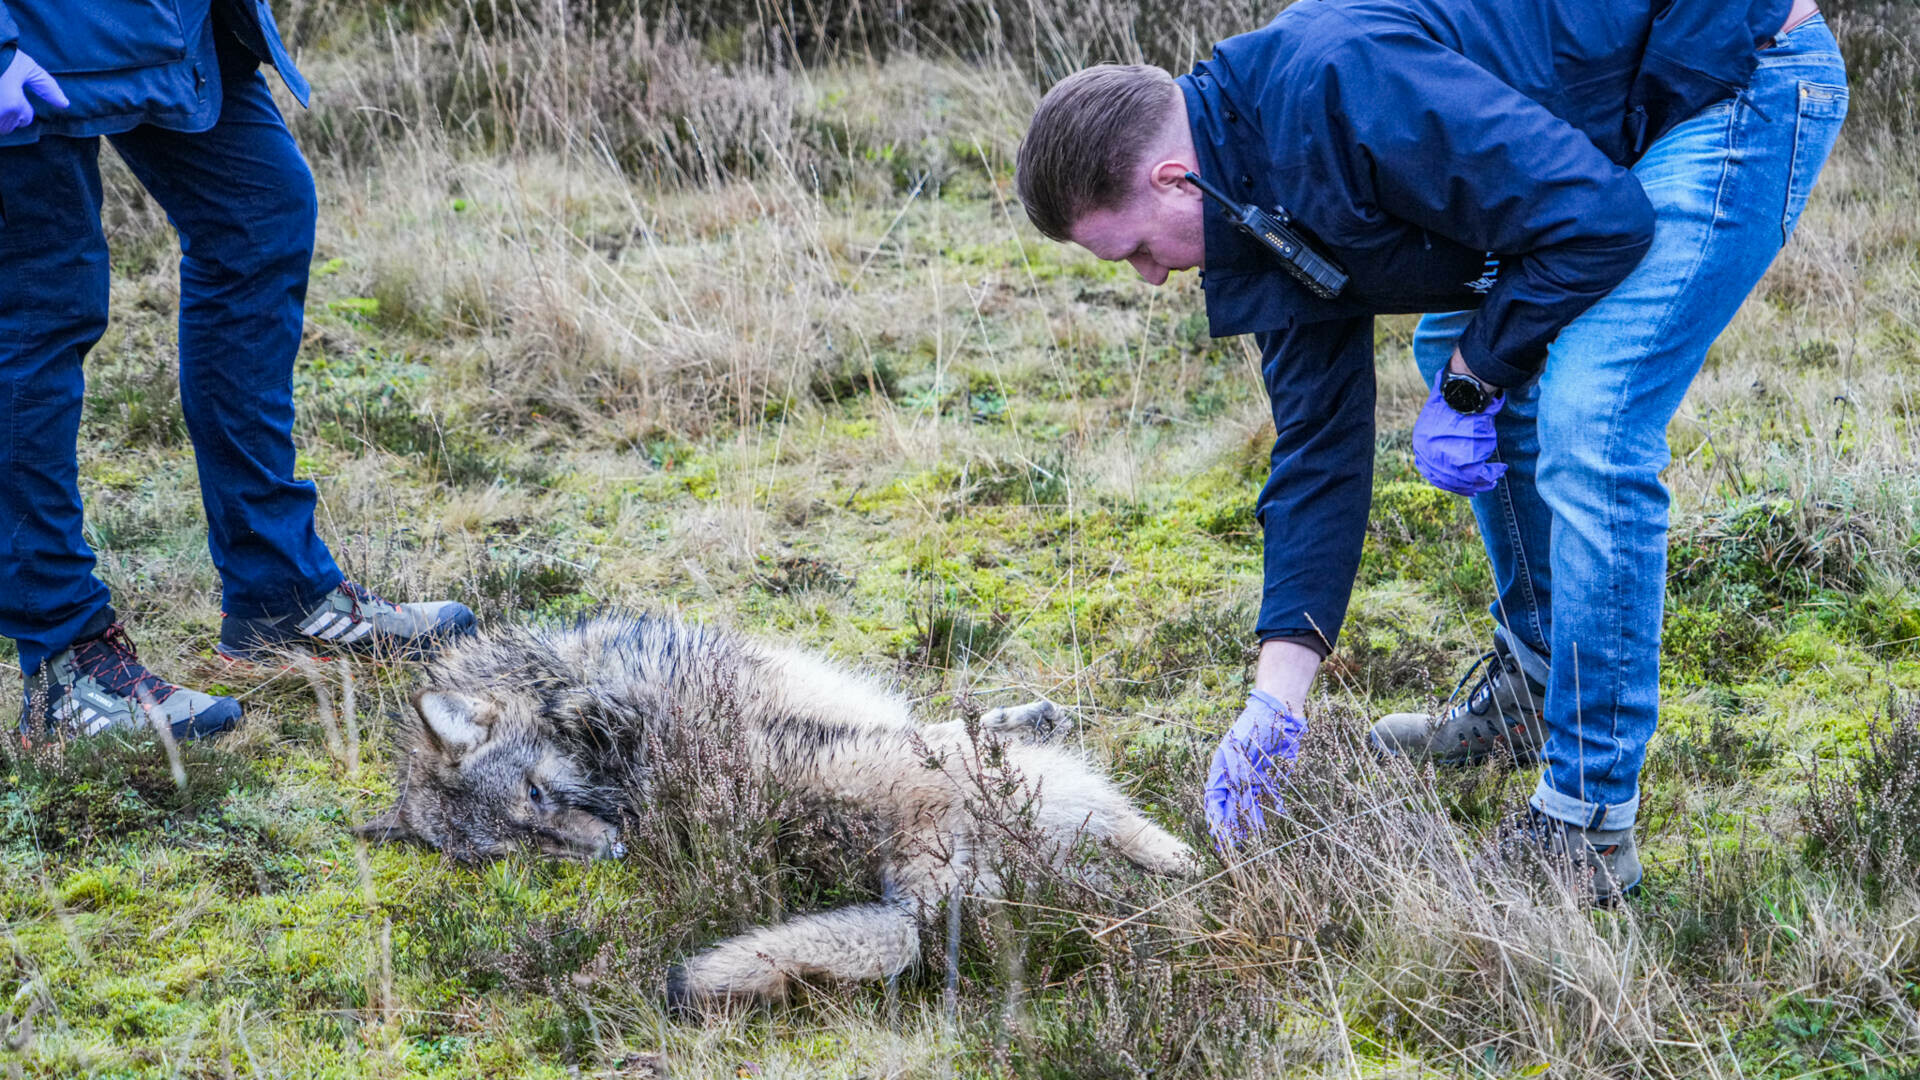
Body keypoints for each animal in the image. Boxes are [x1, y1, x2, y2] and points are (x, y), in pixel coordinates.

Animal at [356, 614, 1198, 1010]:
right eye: (531, 855)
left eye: (535, 796)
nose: (614, 852)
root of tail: (912, 891)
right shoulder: (866, 721)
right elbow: (961, 723)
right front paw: (1030, 713)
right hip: (1050, 793)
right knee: (1134, 836)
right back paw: (1196, 861)